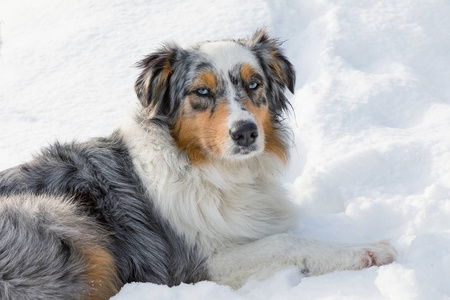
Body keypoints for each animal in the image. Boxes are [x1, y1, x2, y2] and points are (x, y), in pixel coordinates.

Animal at [0, 28, 396, 300]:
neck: (209, 169)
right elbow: (287, 242)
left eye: (254, 84)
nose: (245, 132)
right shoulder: (195, 265)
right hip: (61, 218)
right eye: (201, 92)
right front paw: (367, 250)